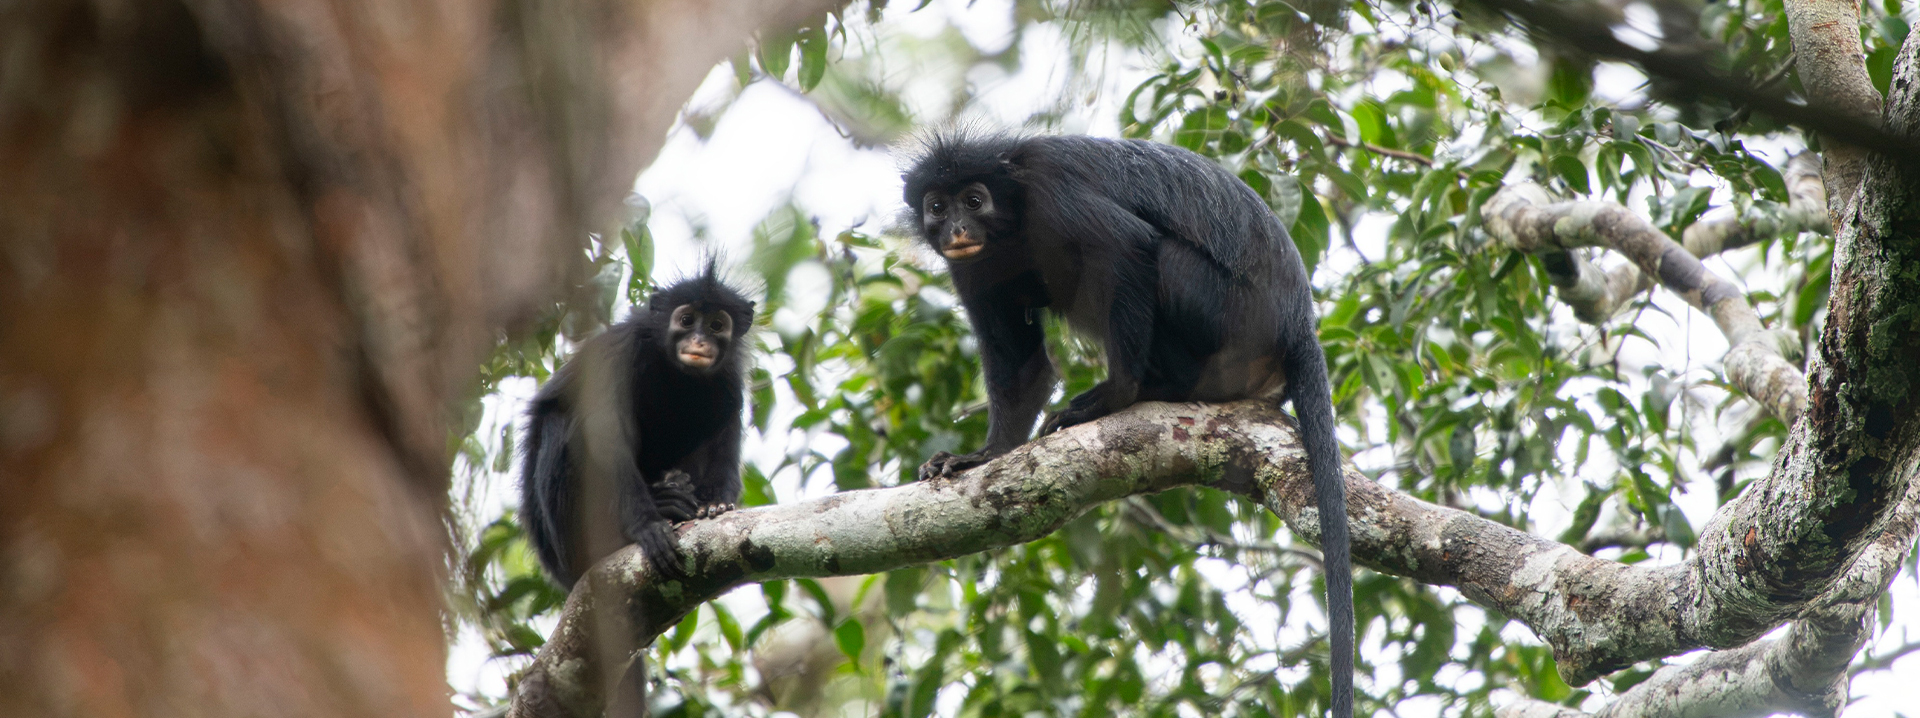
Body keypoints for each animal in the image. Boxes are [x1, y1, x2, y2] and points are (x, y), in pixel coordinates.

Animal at [519, 264, 754, 588]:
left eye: (716, 325)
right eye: (686, 320)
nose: (699, 341)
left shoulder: (730, 380)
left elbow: (725, 441)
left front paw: (716, 503)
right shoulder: (620, 351)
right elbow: (605, 434)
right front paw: (647, 525)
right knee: (558, 423)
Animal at [903, 131, 1354, 718]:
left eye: (974, 201)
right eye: (938, 207)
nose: (958, 228)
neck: (1013, 213)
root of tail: (1298, 321)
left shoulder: (1051, 192)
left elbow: (1127, 246)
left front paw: (1115, 395)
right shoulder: (973, 265)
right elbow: (1021, 365)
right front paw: (982, 456)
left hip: (1225, 313)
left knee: (1153, 255)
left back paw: (1151, 389)